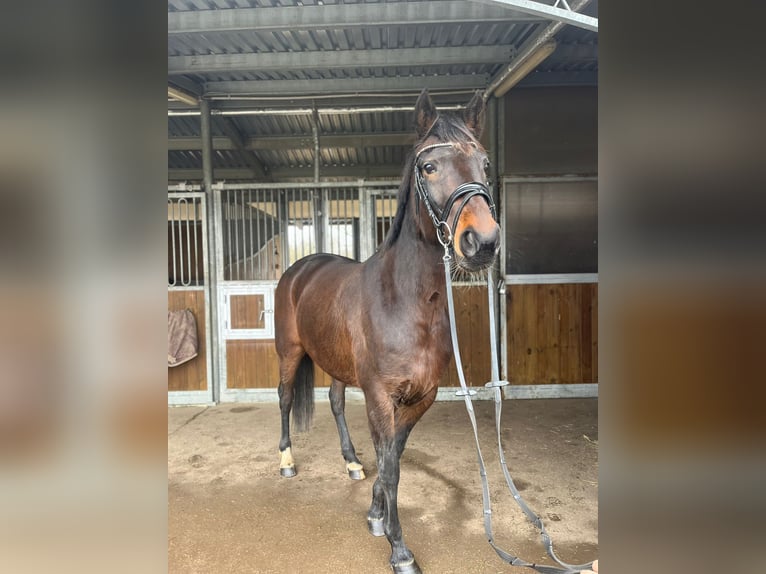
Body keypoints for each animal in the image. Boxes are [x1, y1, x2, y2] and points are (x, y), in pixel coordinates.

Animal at [272, 90, 500, 574]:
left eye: (485, 164)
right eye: (429, 166)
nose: (483, 243)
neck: (407, 302)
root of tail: (301, 269)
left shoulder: (419, 398)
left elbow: (392, 455)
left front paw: (376, 512)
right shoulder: (381, 395)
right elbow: (391, 464)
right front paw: (399, 549)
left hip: (336, 364)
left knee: (336, 403)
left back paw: (351, 463)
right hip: (290, 352)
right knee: (284, 398)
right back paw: (286, 461)